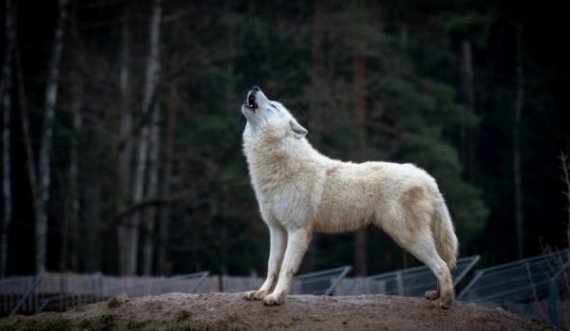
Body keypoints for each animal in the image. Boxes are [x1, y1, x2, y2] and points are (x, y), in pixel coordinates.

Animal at [240, 87, 458, 310]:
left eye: (273, 105)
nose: (255, 88)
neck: (280, 166)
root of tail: (426, 177)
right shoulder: (276, 230)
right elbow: (272, 266)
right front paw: (260, 293)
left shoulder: (297, 230)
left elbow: (285, 268)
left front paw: (276, 297)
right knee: (442, 263)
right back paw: (436, 296)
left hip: (408, 237)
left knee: (442, 266)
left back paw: (445, 302)